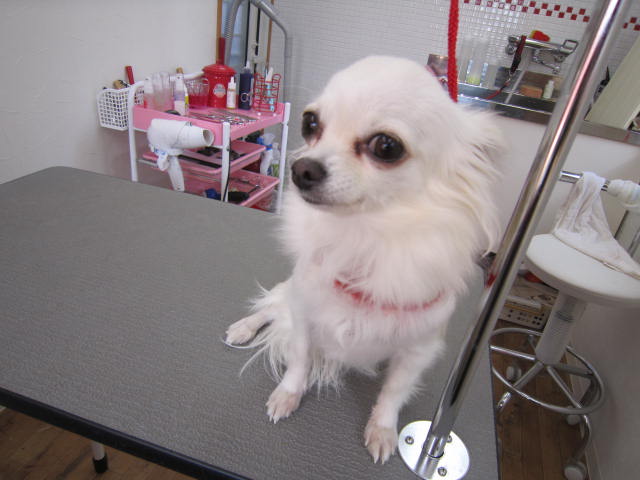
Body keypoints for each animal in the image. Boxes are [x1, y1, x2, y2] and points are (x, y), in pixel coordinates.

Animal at [225, 56, 503, 463]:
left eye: (386, 146)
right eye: (310, 124)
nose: (301, 168)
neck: (366, 234)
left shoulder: (418, 351)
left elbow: (393, 394)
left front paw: (383, 430)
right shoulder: (305, 314)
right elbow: (299, 359)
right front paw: (289, 394)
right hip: (290, 292)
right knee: (271, 307)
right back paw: (244, 327)